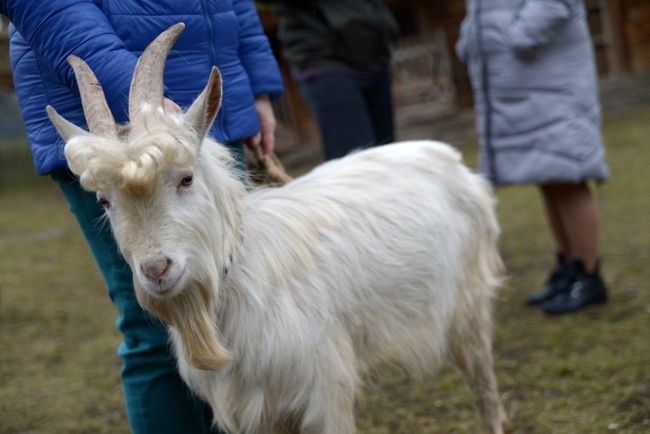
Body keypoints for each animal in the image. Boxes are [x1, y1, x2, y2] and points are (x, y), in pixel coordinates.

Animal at [49, 23, 506, 434]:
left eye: (186, 178)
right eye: (105, 202)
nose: (157, 270)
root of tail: (448, 156)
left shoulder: (324, 389)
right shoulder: (257, 409)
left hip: (467, 307)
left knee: (486, 395)